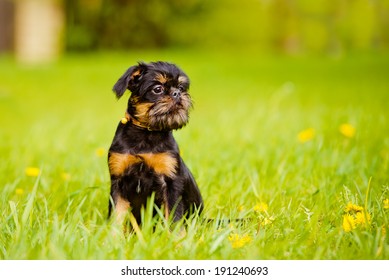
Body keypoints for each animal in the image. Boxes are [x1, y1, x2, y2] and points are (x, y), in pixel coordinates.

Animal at [107, 60, 203, 225]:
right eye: (158, 89)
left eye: (181, 88)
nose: (177, 93)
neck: (147, 133)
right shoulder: (118, 183)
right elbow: (116, 217)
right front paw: (112, 233)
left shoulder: (171, 183)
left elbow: (174, 218)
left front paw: (176, 233)